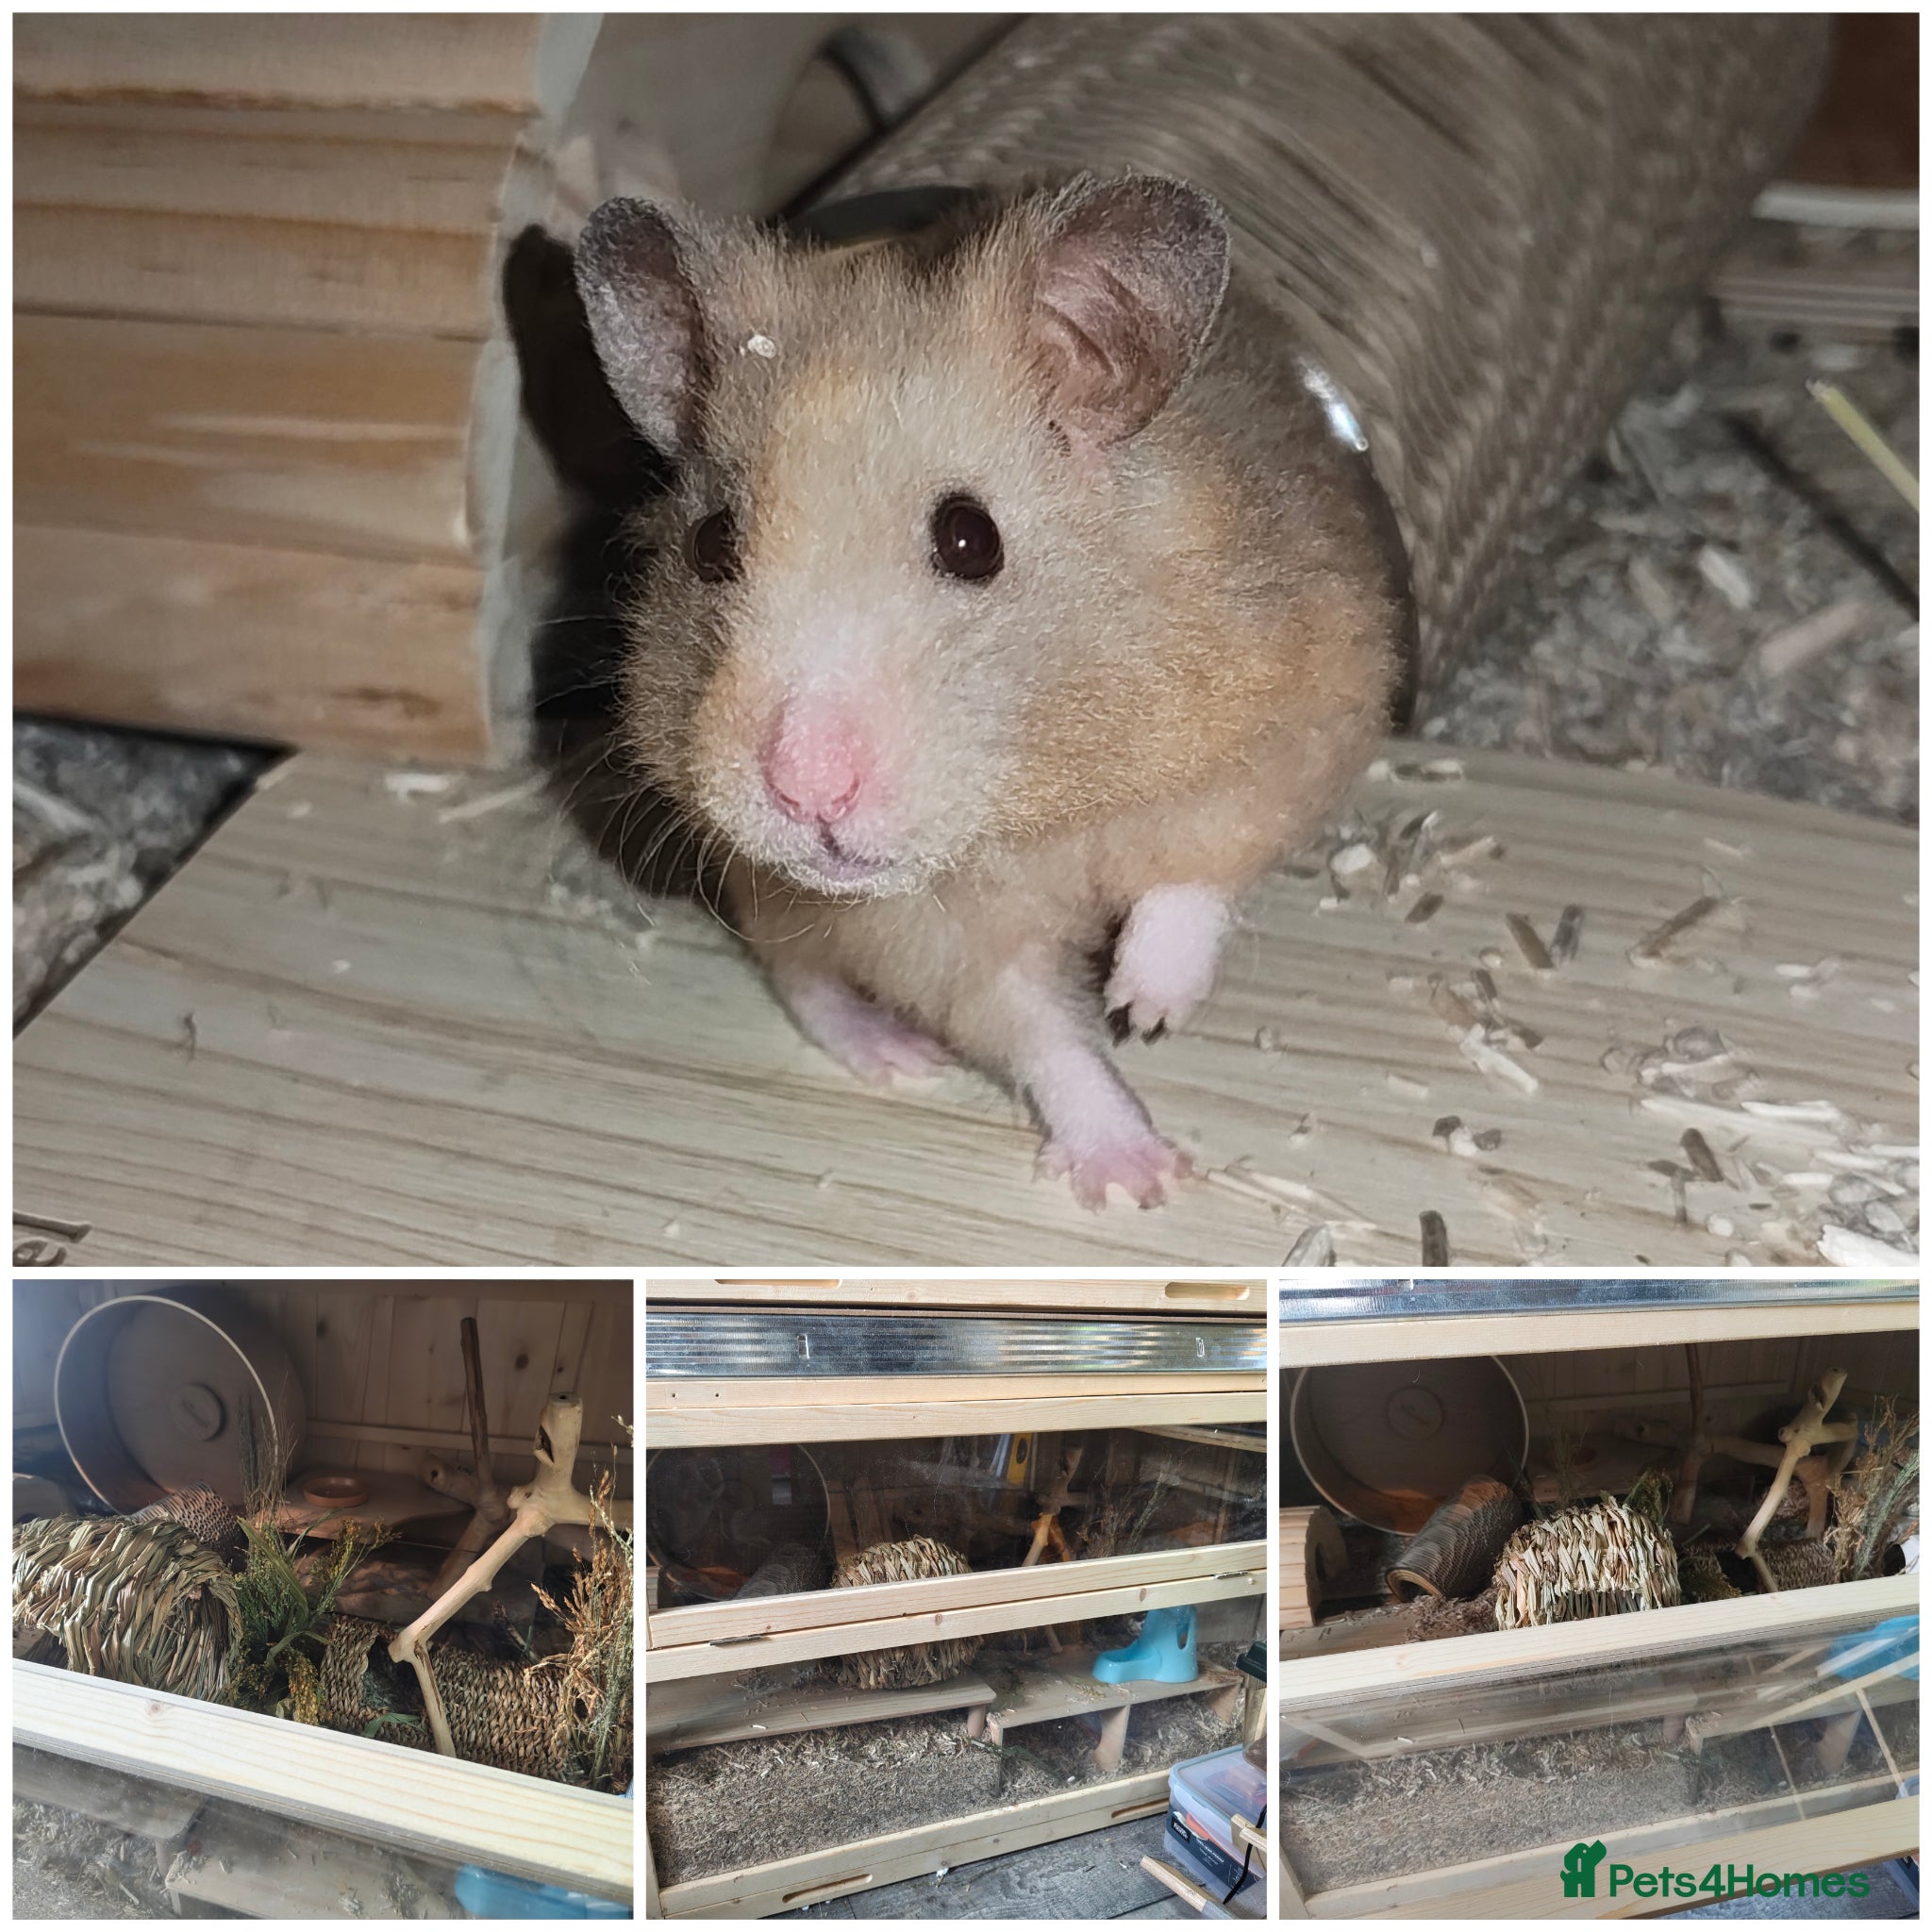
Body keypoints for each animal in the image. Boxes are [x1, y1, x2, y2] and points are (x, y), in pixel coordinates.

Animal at [575, 174, 1404, 1207]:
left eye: (971, 538)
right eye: (711, 542)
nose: (808, 790)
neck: (1029, 803)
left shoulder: (1302, 715)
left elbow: (1196, 873)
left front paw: (1144, 1008)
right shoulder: (930, 937)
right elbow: (1034, 1030)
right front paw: (1136, 1181)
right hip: (769, 891)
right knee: (803, 978)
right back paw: (900, 1055)